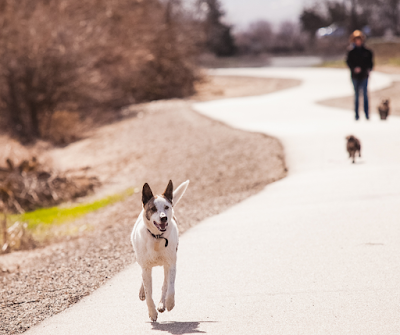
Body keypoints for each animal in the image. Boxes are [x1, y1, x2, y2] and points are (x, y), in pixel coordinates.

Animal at [130, 181, 189, 322]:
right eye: (153, 208)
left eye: (166, 207)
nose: (164, 218)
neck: (157, 237)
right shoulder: (146, 268)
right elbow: (148, 294)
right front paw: (152, 312)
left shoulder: (171, 264)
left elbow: (170, 287)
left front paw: (169, 303)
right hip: (142, 263)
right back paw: (142, 292)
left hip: (166, 265)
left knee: (165, 284)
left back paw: (163, 303)